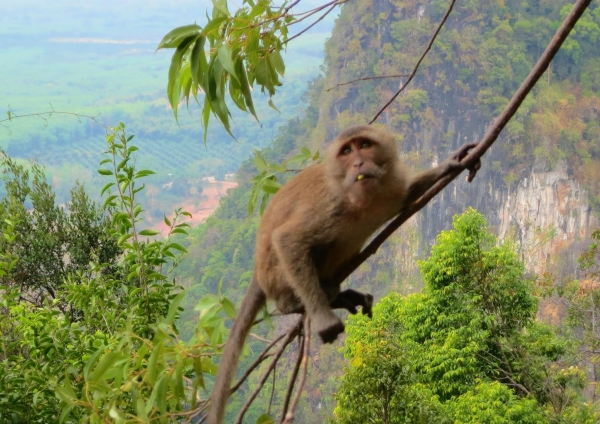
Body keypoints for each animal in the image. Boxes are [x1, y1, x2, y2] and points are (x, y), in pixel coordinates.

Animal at [206, 124, 478, 422]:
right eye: (346, 151)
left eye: (365, 145)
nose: (358, 163)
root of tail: (257, 269)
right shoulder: (331, 205)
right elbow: (289, 239)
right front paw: (323, 317)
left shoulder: (392, 188)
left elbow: (408, 194)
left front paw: (451, 163)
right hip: (277, 274)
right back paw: (299, 302)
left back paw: (335, 293)